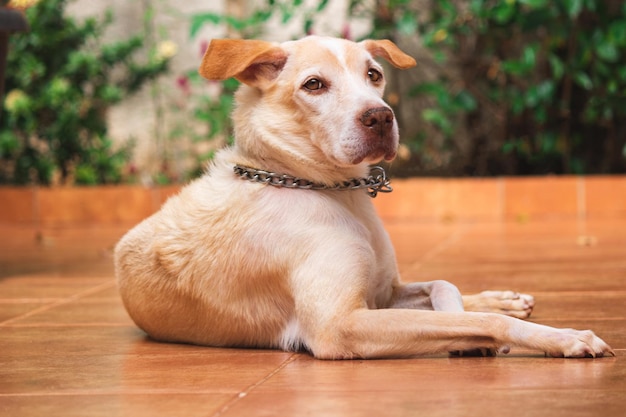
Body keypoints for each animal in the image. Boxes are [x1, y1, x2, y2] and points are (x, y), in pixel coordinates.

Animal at [114, 35, 612, 358]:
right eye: (313, 84)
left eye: (374, 75)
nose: (380, 117)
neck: (323, 188)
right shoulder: (340, 326)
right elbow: (479, 322)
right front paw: (562, 338)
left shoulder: (382, 293)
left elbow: (444, 287)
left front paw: (473, 317)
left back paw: (500, 297)